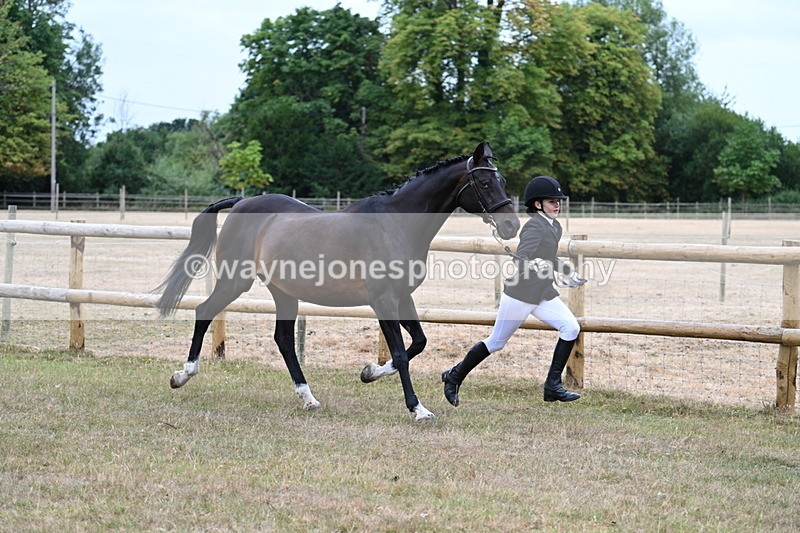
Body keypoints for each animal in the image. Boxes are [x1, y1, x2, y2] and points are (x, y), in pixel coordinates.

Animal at [154, 141, 520, 421]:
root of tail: (243, 201)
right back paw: (182, 375)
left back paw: (308, 398)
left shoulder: (402, 298)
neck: (395, 225)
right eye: (485, 184)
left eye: (502, 181)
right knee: (205, 311)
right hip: (235, 280)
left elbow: (418, 343)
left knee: (283, 340)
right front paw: (418, 409)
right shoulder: (383, 301)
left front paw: (369, 372)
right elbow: (401, 354)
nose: (511, 226)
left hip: (283, 292)